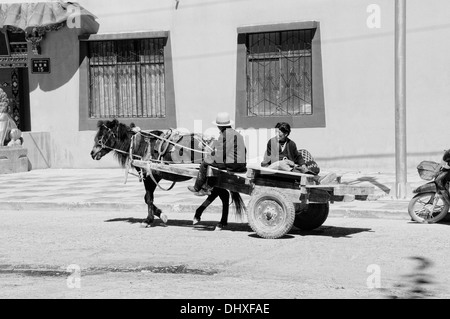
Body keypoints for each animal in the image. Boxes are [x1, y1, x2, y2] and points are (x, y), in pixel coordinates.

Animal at [90, 119, 246, 229]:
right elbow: (147, 199)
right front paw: (160, 215)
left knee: (222, 195)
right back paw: (208, 218)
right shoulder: (153, 177)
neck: (141, 145)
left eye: (101, 136)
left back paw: (216, 221)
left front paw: (149, 220)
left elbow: (148, 198)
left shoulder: (149, 177)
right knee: (219, 195)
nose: (92, 153)